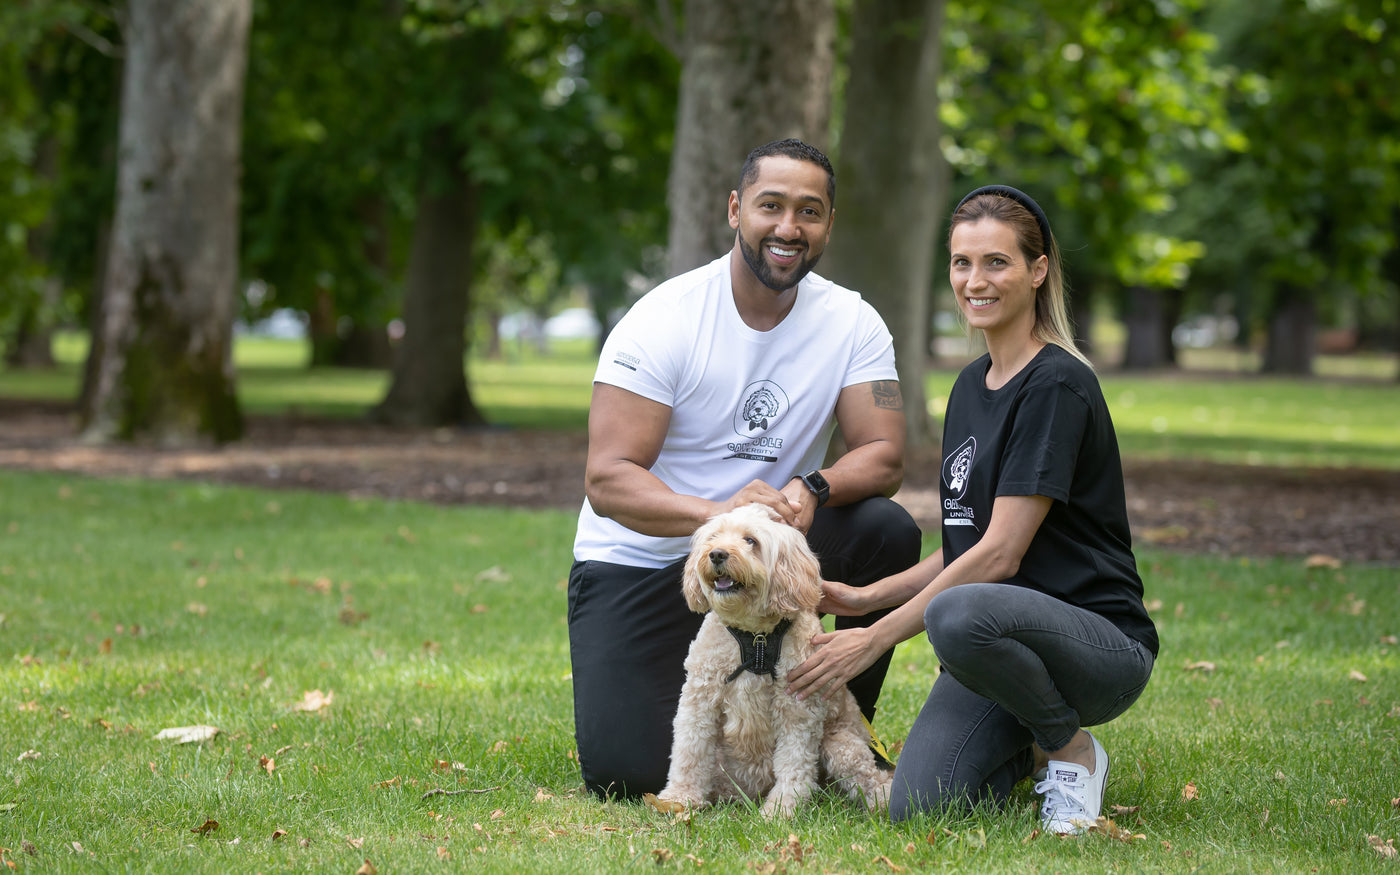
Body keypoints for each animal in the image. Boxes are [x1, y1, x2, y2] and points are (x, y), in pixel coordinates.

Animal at [652, 501, 890, 817]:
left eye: (750, 540)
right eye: (714, 537)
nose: (716, 554)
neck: (756, 639)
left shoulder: (798, 707)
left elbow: (795, 763)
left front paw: (781, 810)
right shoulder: (699, 700)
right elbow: (689, 751)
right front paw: (679, 798)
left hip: (841, 746)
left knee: (871, 778)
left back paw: (885, 800)